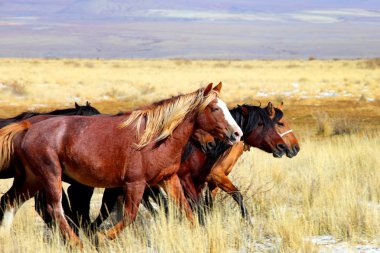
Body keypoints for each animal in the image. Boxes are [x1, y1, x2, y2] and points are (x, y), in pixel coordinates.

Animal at [0, 83, 243, 247]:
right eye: (214, 108)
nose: (237, 134)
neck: (153, 139)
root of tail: (27, 127)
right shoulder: (135, 183)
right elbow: (129, 216)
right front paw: (101, 237)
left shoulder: (168, 179)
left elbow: (187, 211)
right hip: (51, 175)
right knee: (54, 208)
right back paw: (77, 242)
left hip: (31, 178)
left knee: (11, 201)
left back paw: (5, 237)